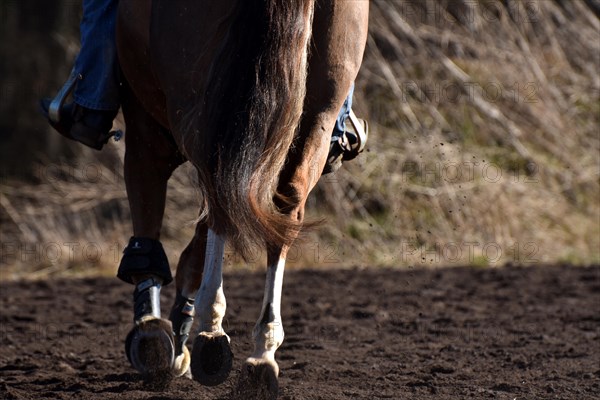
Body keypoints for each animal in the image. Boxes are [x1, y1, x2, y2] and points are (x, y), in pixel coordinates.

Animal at [112, 0, 366, 396]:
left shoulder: (144, 122)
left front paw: (156, 333)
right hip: (318, 111)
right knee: (284, 204)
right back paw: (261, 352)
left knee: (218, 193)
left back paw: (209, 332)